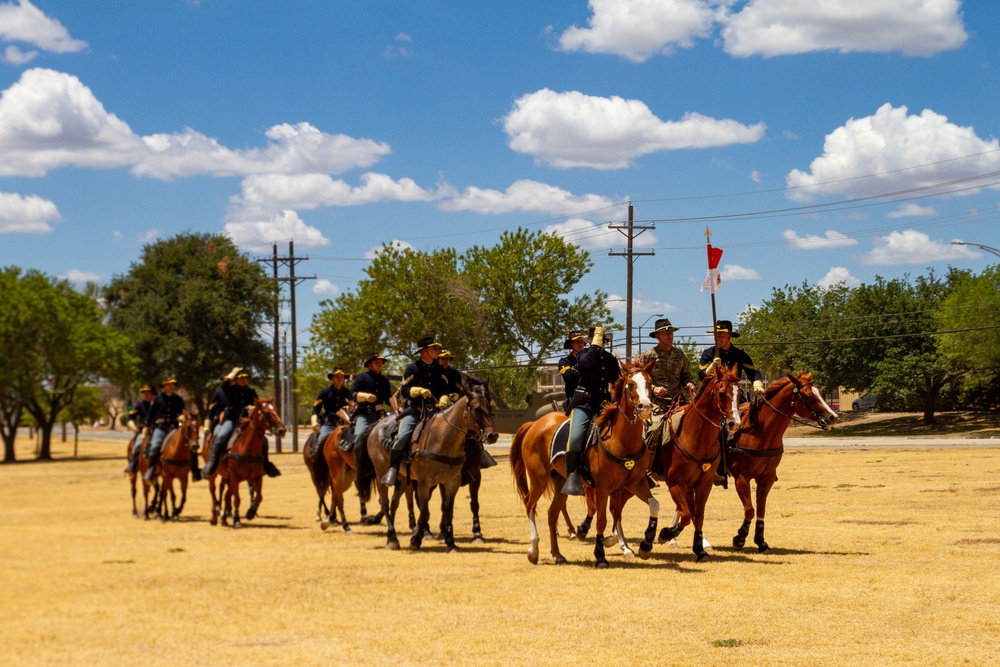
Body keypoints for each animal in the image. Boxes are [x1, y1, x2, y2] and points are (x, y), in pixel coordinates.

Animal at [224, 400, 286, 528]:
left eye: (277, 409)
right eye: (267, 412)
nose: (282, 430)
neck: (247, 450)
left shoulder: (256, 477)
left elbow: (259, 496)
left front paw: (251, 512)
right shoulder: (234, 477)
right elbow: (237, 499)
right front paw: (237, 520)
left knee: (228, 494)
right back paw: (225, 514)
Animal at [362, 376, 498, 552]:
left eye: (490, 404)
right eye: (476, 409)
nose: (492, 435)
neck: (443, 438)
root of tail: (376, 426)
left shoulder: (454, 481)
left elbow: (450, 508)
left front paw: (452, 541)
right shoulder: (425, 483)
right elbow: (424, 508)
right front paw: (416, 539)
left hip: (401, 478)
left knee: (394, 502)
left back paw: (393, 538)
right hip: (381, 475)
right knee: (385, 502)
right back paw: (393, 538)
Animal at [508, 362, 656, 568]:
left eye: (650, 382)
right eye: (631, 384)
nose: (646, 406)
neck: (621, 440)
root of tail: (535, 424)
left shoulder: (634, 483)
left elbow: (651, 505)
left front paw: (645, 544)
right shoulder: (602, 488)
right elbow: (602, 519)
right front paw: (600, 555)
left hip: (561, 483)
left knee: (552, 513)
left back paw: (557, 554)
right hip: (539, 478)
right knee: (530, 504)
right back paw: (533, 551)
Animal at [656, 366, 744, 564]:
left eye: (740, 393)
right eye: (721, 393)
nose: (735, 424)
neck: (695, 436)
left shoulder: (702, 484)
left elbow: (697, 516)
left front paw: (700, 549)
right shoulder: (675, 484)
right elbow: (687, 515)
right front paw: (665, 534)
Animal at [728, 370, 836, 552]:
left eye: (821, 393)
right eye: (808, 396)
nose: (832, 416)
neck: (759, 432)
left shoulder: (767, 478)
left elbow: (761, 509)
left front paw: (761, 541)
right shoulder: (741, 477)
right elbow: (749, 509)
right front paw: (740, 537)